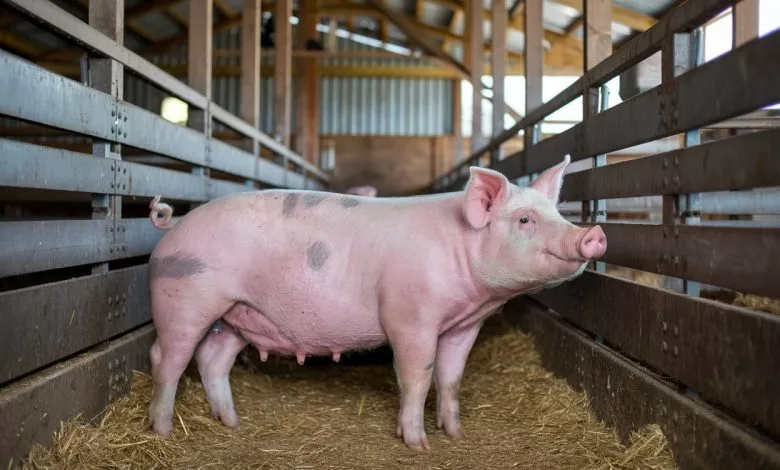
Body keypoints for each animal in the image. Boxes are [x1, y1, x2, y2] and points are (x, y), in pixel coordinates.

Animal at [145, 155, 606, 451]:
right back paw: (163, 431)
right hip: (184, 301)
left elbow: (451, 377)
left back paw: (233, 424)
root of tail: (178, 222)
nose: (593, 233)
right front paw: (419, 446)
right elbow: (418, 377)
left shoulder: (463, 326)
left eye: (558, 213)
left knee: (212, 359)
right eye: (525, 219)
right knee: (166, 359)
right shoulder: (409, 317)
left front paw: (456, 434)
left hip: (237, 315)